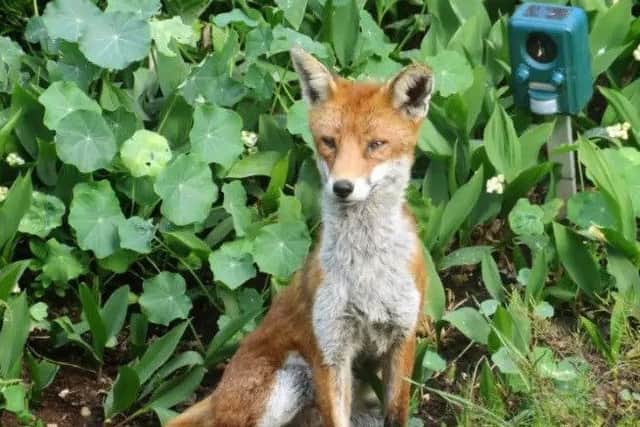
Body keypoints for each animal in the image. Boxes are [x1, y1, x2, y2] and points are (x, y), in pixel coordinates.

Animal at [166, 47, 434, 427]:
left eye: (376, 145)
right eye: (329, 142)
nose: (342, 187)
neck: (367, 273)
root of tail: (216, 395)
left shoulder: (402, 336)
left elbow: (397, 413)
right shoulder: (329, 348)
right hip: (292, 379)